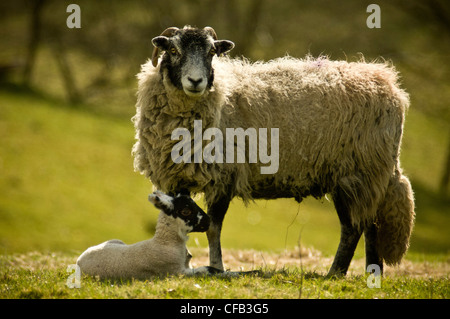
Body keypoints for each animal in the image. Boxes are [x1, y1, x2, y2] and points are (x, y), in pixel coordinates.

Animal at [133, 25, 414, 278]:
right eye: (173, 49)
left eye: (212, 52)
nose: (195, 81)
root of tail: (390, 86)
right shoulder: (176, 179)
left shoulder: (224, 177)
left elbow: (213, 228)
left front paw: (218, 268)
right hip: (367, 176)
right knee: (370, 225)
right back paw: (371, 272)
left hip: (355, 172)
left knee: (353, 228)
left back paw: (335, 273)